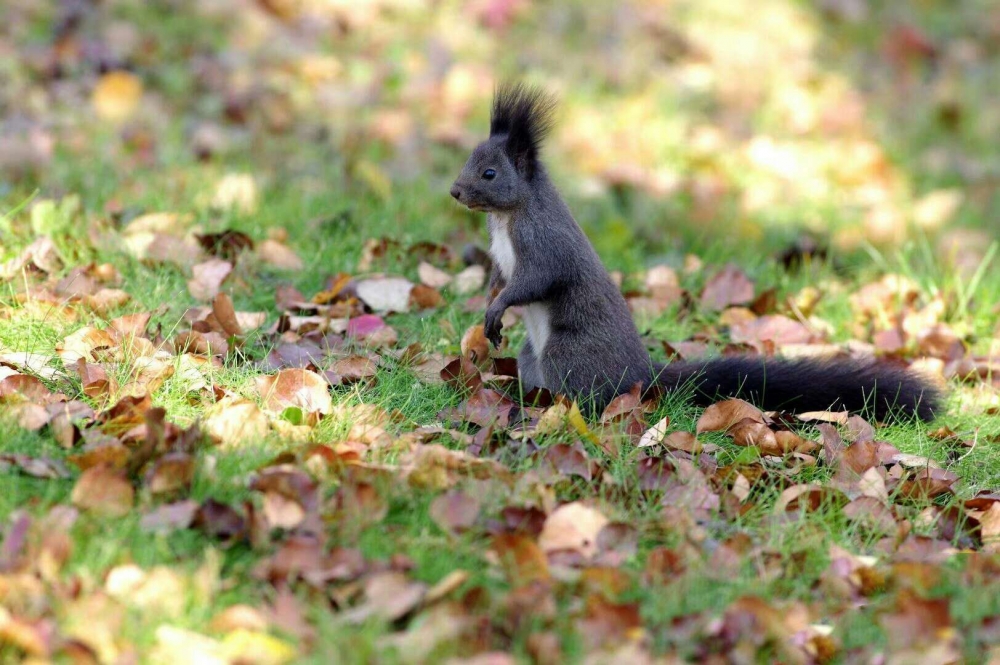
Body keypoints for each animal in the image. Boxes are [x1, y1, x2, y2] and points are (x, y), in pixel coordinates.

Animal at [450, 84, 940, 420]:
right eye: (470, 159)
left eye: (490, 173)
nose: (455, 192)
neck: (507, 216)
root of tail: (641, 376)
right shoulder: (503, 253)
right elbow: (500, 277)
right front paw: (487, 304)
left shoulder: (544, 243)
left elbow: (534, 281)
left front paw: (497, 308)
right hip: (535, 358)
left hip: (566, 356)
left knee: (587, 398)